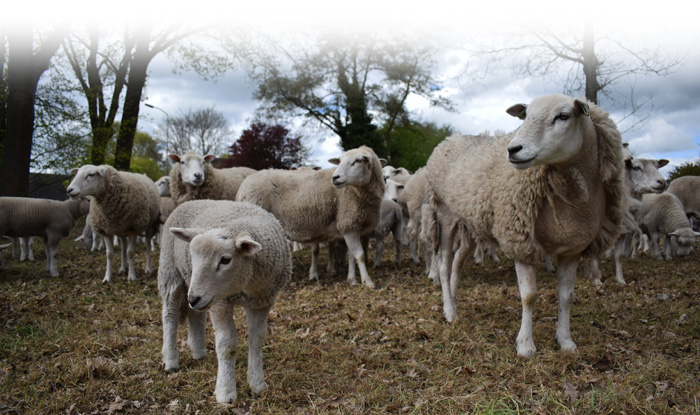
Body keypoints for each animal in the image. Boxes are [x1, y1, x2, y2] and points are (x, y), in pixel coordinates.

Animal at [157, 200, 292, 404]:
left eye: (225, 260)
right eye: (193, 257)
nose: (193, 298)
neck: (247, 285)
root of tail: (190, 201)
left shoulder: (263, 301)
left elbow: (257, 339)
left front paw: (257, 384)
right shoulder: (221, 302)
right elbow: (227, 345)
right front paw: (226, 392)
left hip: (196, 287)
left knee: (195, 315)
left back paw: (198, 352)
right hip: (171, 271)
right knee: (170, 316)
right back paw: (171, 360)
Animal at [238, 146, 386, 290]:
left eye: (358, 160)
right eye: (340, 161)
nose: (335, 177)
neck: (357, 192)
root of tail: (243, 187)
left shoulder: (351, 227)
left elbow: (351, 255)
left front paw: (352, 279)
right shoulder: (348, 224)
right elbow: (359, 255)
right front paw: (367, 281)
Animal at [424, 94, 628, 358]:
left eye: (563, 116)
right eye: (525, 116)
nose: (513, 150)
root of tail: (449, 139)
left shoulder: (572, 250)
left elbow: (567, 297)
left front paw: (566, 342)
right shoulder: (520, 241)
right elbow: (529, 297)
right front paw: (525, 345)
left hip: (469, 222)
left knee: (457, 262)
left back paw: (455, 300)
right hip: (444, 213)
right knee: (444, 263)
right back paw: (449, 311)